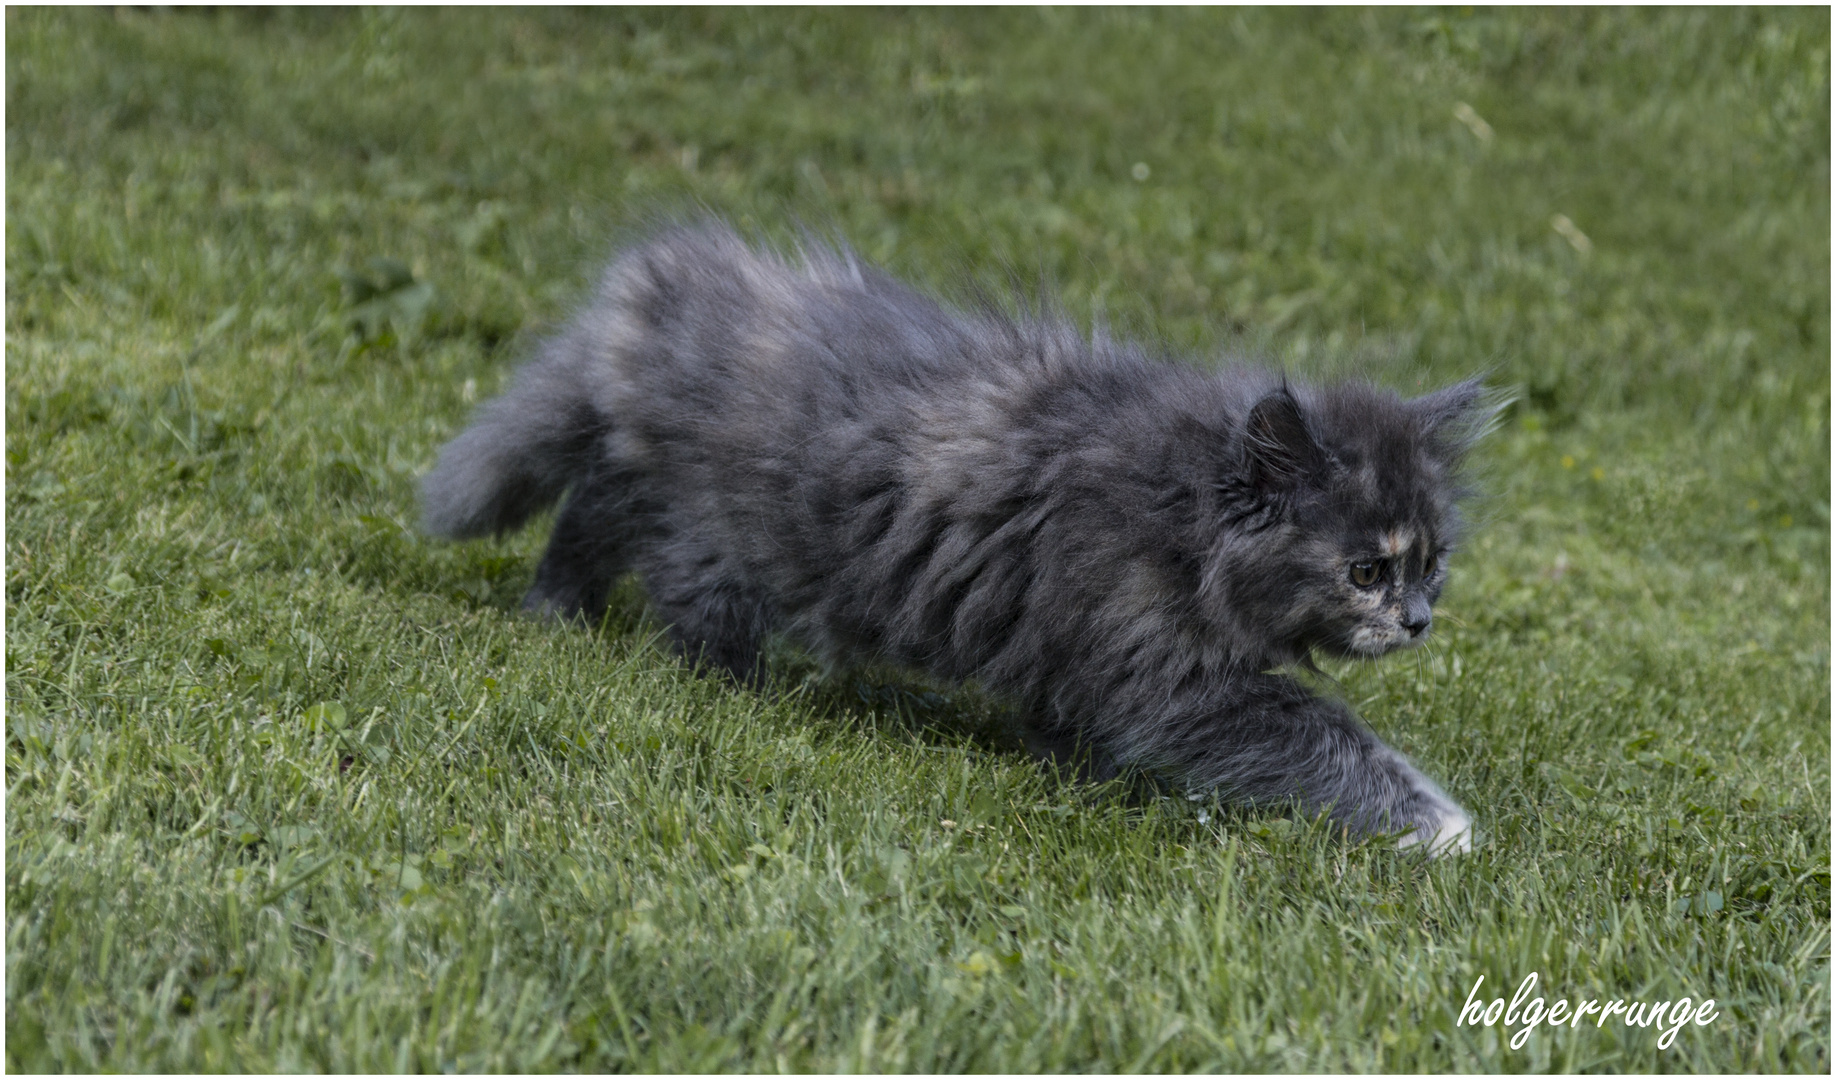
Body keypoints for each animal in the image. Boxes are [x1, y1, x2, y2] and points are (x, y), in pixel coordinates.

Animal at [420, 223, 1490, 855]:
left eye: (1432, 564)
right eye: (1366, 569)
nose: (1418, 621)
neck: (1179, 502)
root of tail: (666, 294)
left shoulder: (1095, 650)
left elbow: (1070, 715)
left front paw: (1076, 773)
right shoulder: (1173, 674)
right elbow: (1319, 734)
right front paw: (1438, 826)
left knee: (594, 501)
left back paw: (556, 609)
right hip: (724, 531)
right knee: (675, 582)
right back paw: (719, 683)